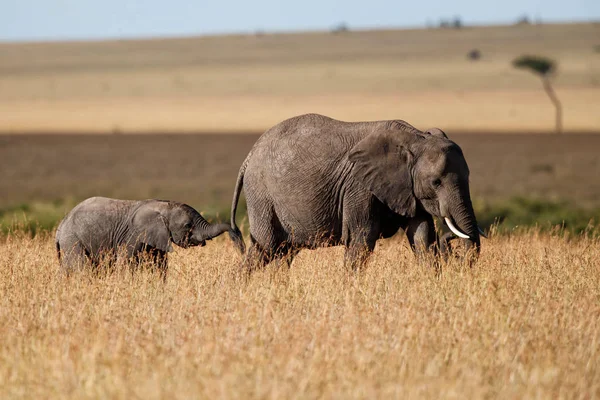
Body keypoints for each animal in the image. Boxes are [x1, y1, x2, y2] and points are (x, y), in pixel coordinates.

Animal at [55, 196, 234, 276]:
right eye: (187, 225)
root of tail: (60, 226)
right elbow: (125, 265)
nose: (236, 233)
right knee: (82, 268)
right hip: (72, 240)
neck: (163, 206)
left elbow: (160, 266)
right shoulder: (133, 236)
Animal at [230, 113, 482, 268]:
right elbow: (361, 239)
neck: (416, 139)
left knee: (283, 252)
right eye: (436, 182)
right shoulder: (358, 186)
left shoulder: (409, 190)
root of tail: (250, 155)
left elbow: (422, 237)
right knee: (264, 248)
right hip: (261, 194)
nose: (454, 243)